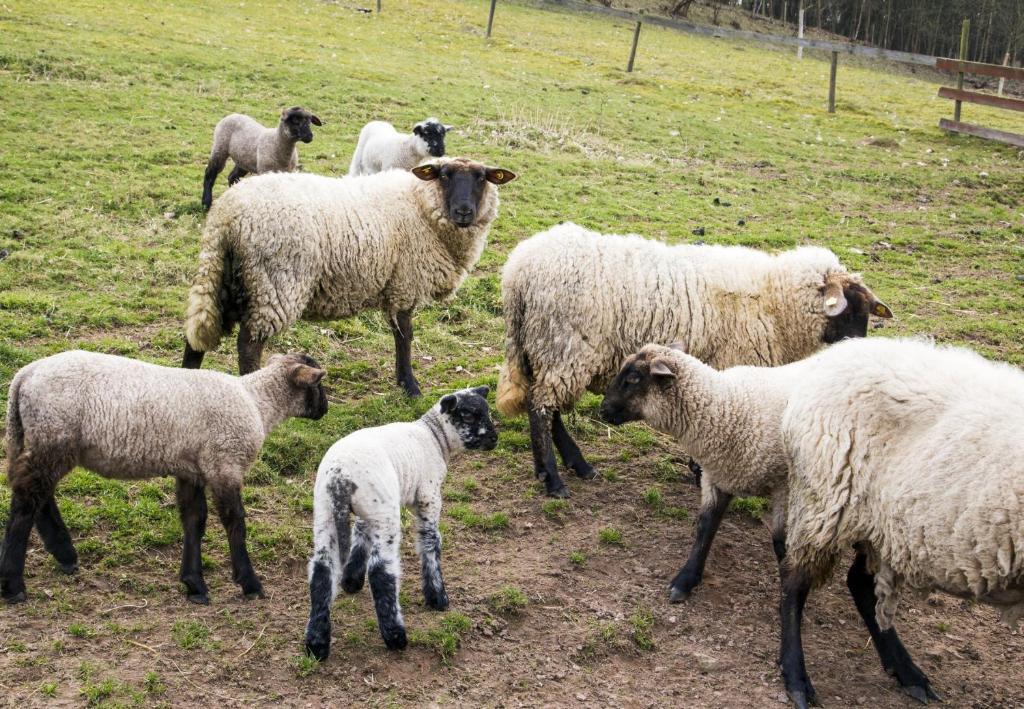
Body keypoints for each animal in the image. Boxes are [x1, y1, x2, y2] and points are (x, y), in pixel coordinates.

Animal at [181, 156, 516, 395]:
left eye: (482, 178)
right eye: (444, 175)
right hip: (274, 284)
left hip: (225, 278)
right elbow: (406, 335)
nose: (464, 211)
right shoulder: (406, 282)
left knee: (195, 337)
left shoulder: (396, 283)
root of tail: (227, 217)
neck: (420, 204)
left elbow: (398, 334)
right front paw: (410, 386)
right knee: (248, 346)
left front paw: (402, 381)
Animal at [301, 383, 497, 659]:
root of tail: (341, 477)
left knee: (322, 570)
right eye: (469, 416)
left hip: (328, 512)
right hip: (385, 514)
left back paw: (316, 644)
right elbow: (430, 543)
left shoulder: (368, 511)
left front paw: (351, 580)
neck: (434, 437)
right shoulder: (428, 498)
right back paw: (395, 636)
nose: (494, 438)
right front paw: (438, 598)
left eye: (487, 412)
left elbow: (360, 534)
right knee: (381, 572)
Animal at [493, 221, 888, 497]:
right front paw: (701, 471)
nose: (859, 352)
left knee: (547, 407)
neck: (775, 301)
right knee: (541, 408)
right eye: (850, 309)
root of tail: (517, 272)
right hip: (564, 345)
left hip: (544, 348)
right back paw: (554, 479)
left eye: (866, 312)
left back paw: (572, 466)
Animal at [598, 344, 806, 602]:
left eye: (634, 378)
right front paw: (685, 580)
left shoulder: (786, 487)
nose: (602, 410)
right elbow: (705, 528)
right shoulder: (719, 476)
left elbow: (781, 544)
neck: (728, 407)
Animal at [774, 338, 1024, 709]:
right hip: (826, 500)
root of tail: (831, 356)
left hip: (882, 525)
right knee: (794, 582)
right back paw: (797, 679)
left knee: (858, 583)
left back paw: (907, 673)